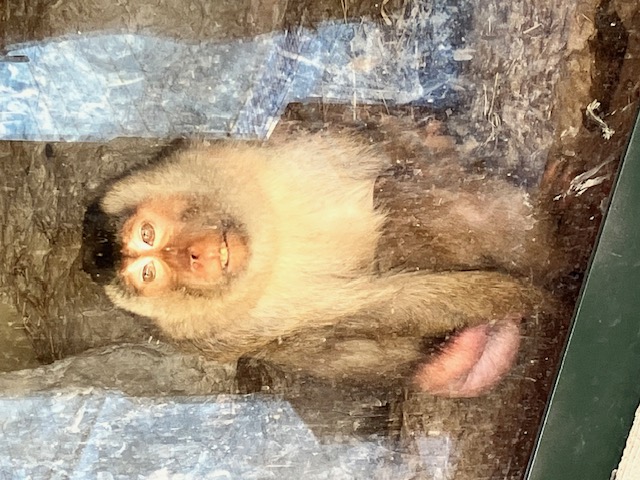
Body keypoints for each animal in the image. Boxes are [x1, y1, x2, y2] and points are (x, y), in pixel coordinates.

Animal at [84, 133, 549, 397]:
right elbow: (370, 312)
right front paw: (525, 296)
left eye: (148, 235)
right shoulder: (228, 331)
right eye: (150, 273)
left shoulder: (210, 156)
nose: (194, 255)